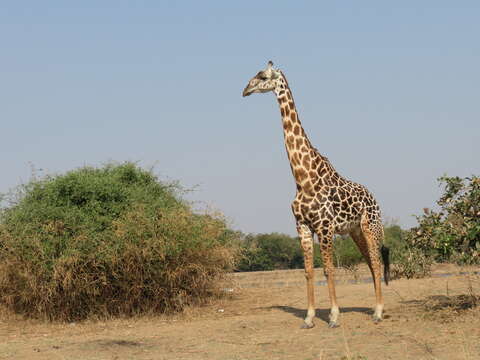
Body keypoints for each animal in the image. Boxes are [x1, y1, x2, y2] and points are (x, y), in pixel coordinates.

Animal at [244, 62, 390, 330]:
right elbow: (309, 271)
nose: (245, 90)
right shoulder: (302, 226)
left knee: (376, 262)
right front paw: (309, 317)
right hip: (355, 231)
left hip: (371, 226)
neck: (303, 179)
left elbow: (328, 270)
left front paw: (333, 316)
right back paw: (375, 309)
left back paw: (378, 312)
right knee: (370, 263)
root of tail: (374, 198)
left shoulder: (324, 226)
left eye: (263, 76)